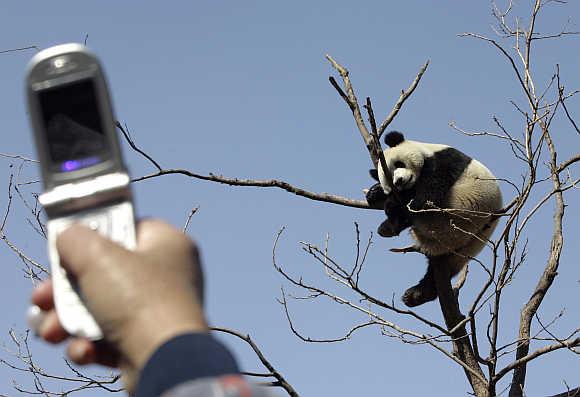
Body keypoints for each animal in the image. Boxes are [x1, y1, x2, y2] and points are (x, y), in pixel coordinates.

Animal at [368, 131, 502, 308]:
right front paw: (374, 192)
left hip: (458, 208)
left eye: (398, 164)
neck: (426, 151)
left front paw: (389, 200)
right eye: (389, 180)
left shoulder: (442, 162)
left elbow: (428, 194)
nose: (399, 181)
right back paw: (416, 294)